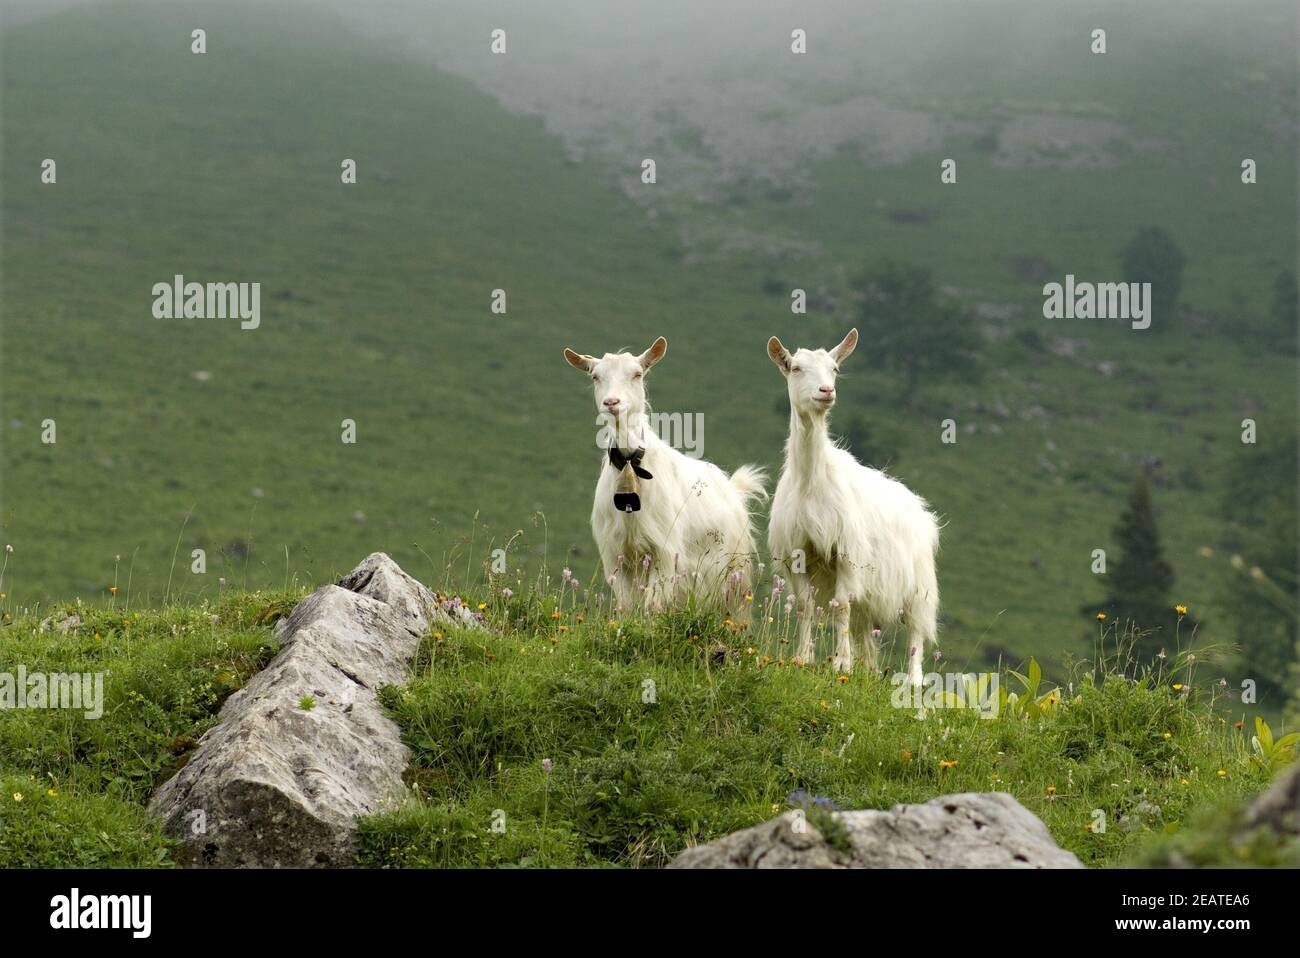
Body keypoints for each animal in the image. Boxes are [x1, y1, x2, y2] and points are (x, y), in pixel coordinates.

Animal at [564, 337, 767, 615]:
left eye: (637, 374)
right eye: (595, 376)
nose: (612, 402)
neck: (630, 464)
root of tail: (733, 489)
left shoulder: (665, 551)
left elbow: (653, 605)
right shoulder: (615, 555)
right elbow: (627, 607)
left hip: (733, 575)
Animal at [766, 328, 940, 684]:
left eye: (834, 368)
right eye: (796, 368)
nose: (826, 391)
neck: (812, 482)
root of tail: (918, 506)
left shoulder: (848, 552)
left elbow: (840, 605)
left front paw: (840, 664)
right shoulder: (797, 554)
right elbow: (806, 605)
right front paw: (802, 658)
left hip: (919, 586)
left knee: (915, 632)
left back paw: (914, 680)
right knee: (864, 627)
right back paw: (869, 670)